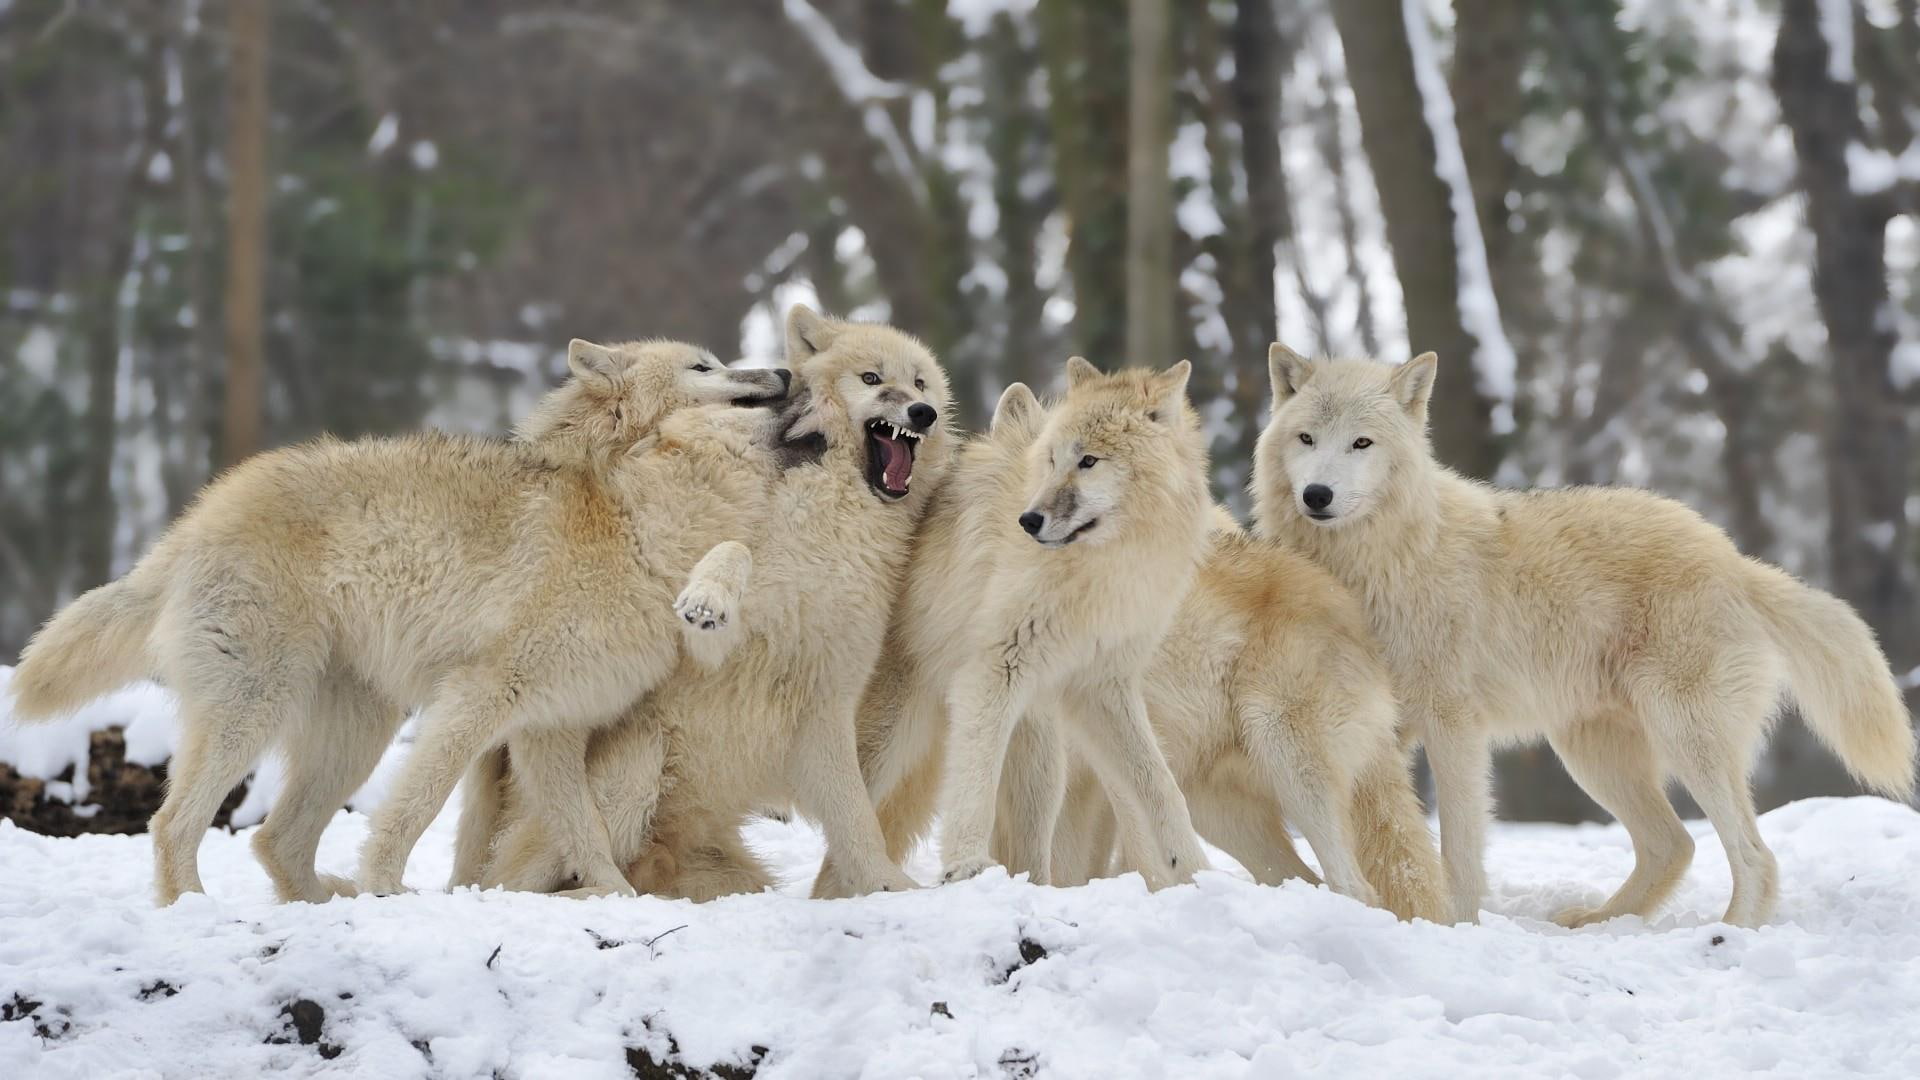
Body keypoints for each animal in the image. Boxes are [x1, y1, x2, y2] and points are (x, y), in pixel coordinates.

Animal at [8, 340, 789, 904]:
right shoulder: (479, 698)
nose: (783, 371)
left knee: (275, 841)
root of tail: (191, 522)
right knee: (174, 825)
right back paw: (199, 912)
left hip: (355, 733)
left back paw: (323, 904)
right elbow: (417, 808)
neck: (628, 526)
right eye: (705, 366)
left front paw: (619, 901)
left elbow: (587, 835)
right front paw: (387, 886)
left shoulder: (550, 730)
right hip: (257, 711)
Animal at [472, 306, 954, 900]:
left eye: (920, 383)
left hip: (731, 872)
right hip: (638, 761)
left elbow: (857, 819)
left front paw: (888, 887)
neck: (832, 519)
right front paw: (706, 599)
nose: (923, 413)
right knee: (520, 881)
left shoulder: (828, 697)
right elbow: (734, 552)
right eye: (871, 379)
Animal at [1254, 345, 1918, 927]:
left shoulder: (1452, 725)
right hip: (1592, 755)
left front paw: (1457, 925)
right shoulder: (1377, 730)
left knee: (1755, 856)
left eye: (1362, 443)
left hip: (1683, 738)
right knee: (1674, 845)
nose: (1317, 495)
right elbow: (1385, 839)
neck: (1377, 563)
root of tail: (1736, 560)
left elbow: (1459, 849)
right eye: (1306, 439)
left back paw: (1729, 936)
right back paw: (1600, 923)